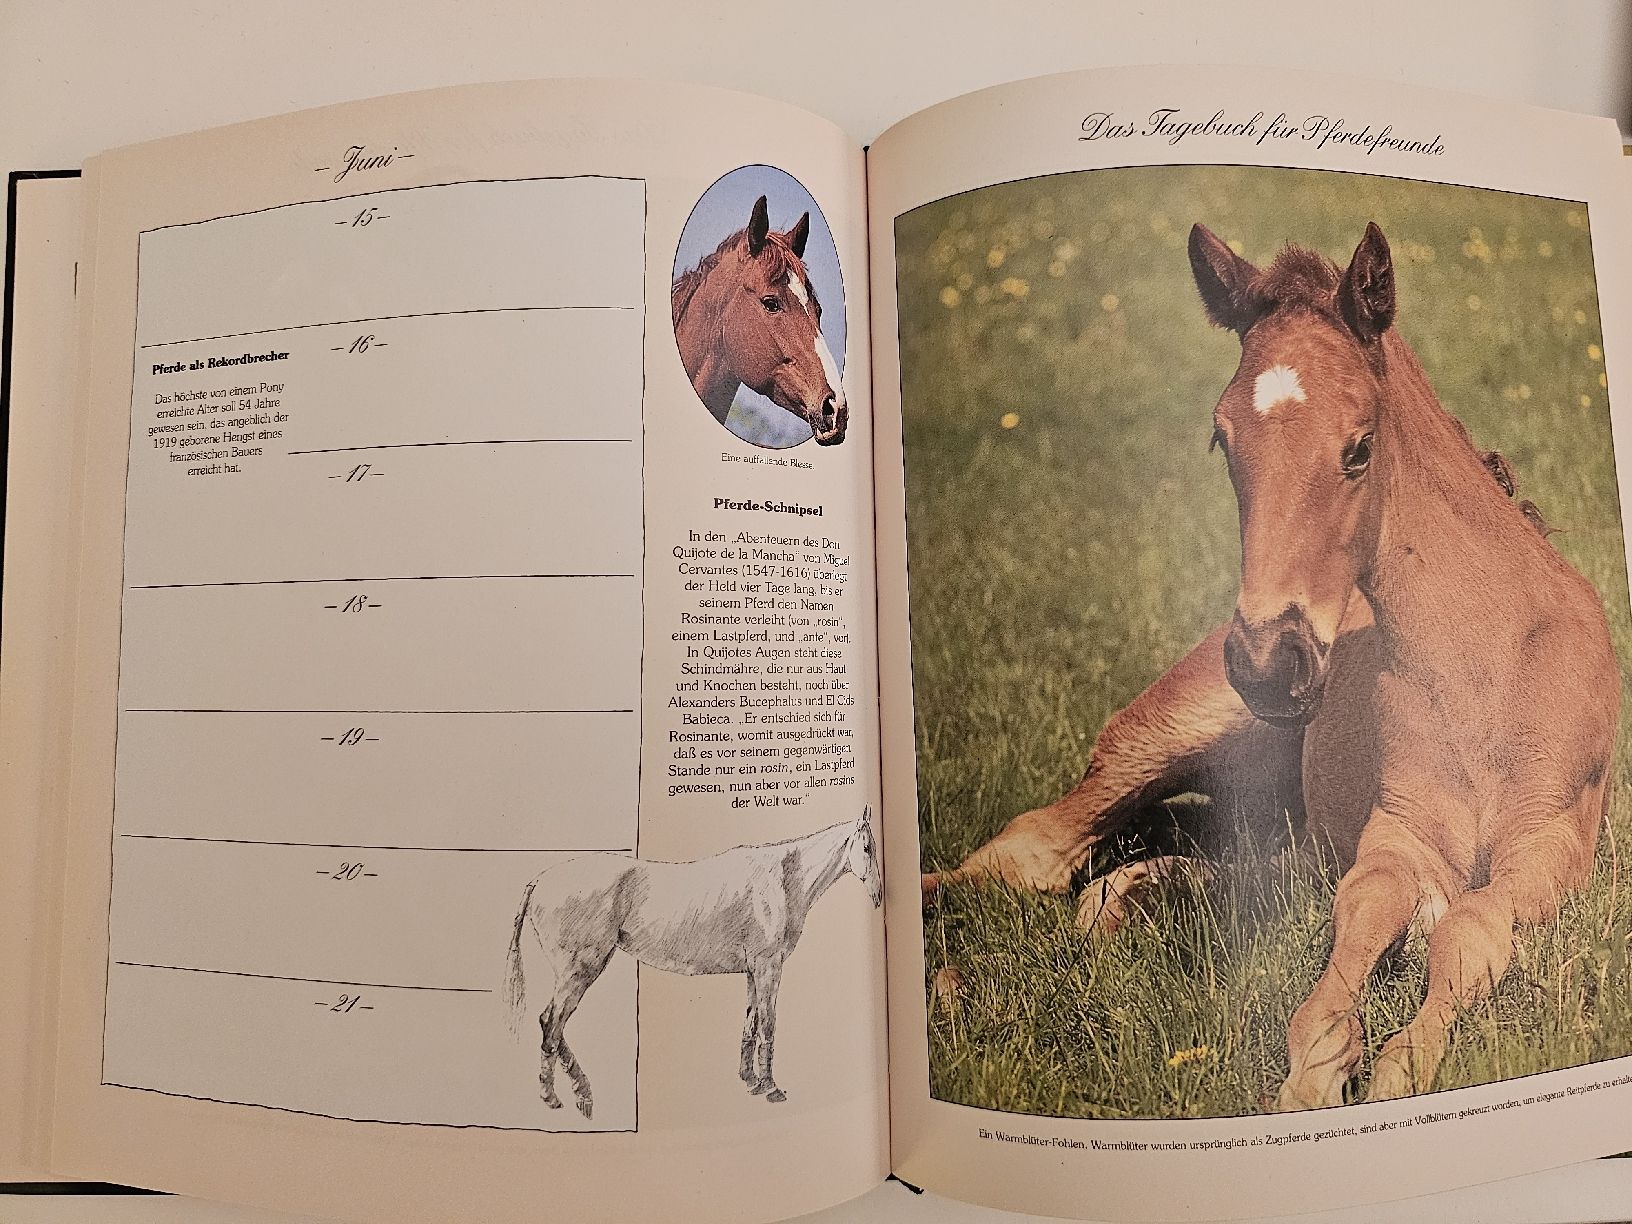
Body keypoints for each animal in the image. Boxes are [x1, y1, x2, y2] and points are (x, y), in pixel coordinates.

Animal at [506, 808, 881, 1117]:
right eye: (867, 849)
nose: (879, 896)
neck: (783, 879)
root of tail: (539, 881)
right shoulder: (768, 966)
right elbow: (768, 1024)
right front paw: (771, 1088)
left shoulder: (752, 970)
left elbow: (751, 1022)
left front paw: (750, 1080)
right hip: (580, 969)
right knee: (551, 1023)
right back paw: (554, 1096)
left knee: (552, 1024)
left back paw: (581, 1092)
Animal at [923, 221, 1622, 1109]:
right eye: (1223, 440)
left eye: (1359, 449)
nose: (1265, 663)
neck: (1487, 667)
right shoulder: (1394, 834)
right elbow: (1364, 916)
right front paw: (1318, 1078)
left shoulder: (1553, 844)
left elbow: (1468, 928)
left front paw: (1393, 1071)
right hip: (1176, 729)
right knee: (1034, 848)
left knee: (1163, 873)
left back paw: (1121, 907)